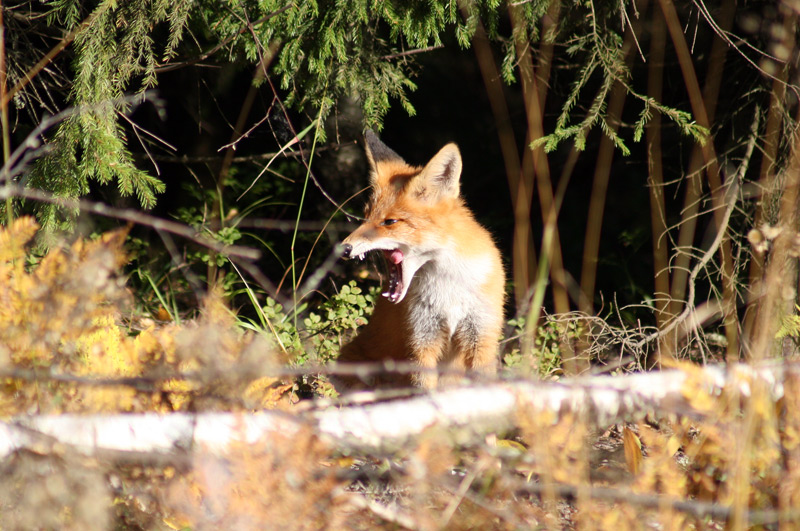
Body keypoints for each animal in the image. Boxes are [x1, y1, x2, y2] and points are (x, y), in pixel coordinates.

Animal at [340, 132, 506, 390]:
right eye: (366, 216)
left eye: (390, 222)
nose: (344, 248)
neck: (449, 286)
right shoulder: (421, 338)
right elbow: (424, 389)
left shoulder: (481, 333)